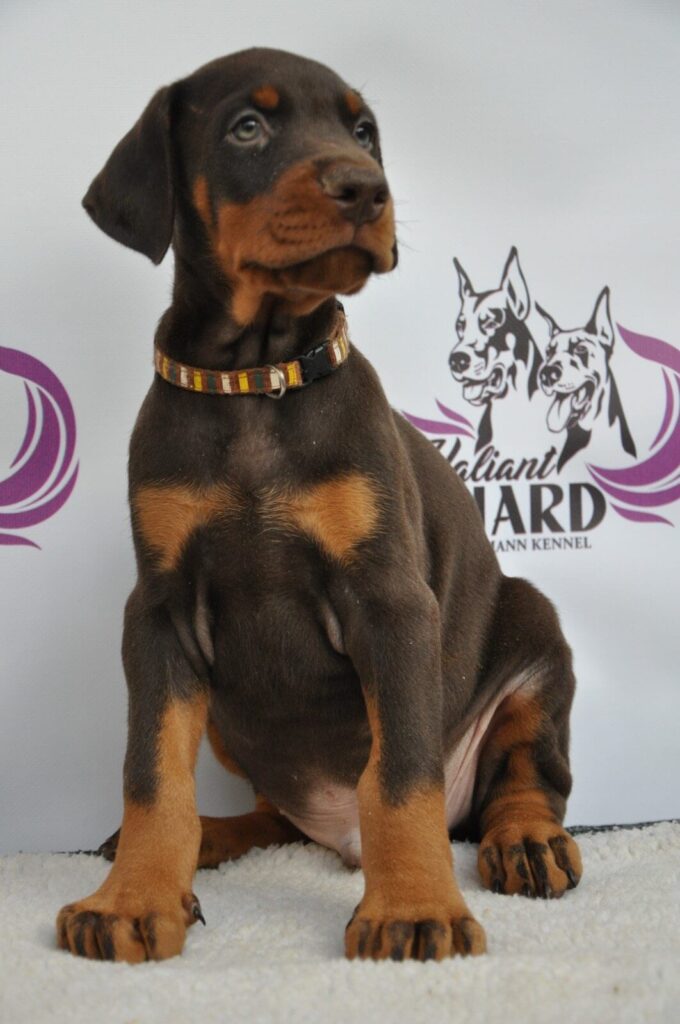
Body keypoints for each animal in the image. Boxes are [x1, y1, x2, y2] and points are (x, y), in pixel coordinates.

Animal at [55, 46, 581, 958]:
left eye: (362, 130)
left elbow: (400, 775)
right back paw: (213, 839)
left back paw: (526, 841)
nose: (366, 189)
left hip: (536, 636)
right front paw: (132, 899)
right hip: (231, 714)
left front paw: (412, 908)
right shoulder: (158, 614)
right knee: (271, 814)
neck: (255, 379)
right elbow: (151, 775)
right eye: (247, 127)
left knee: (527, 772)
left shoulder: (390, 600)